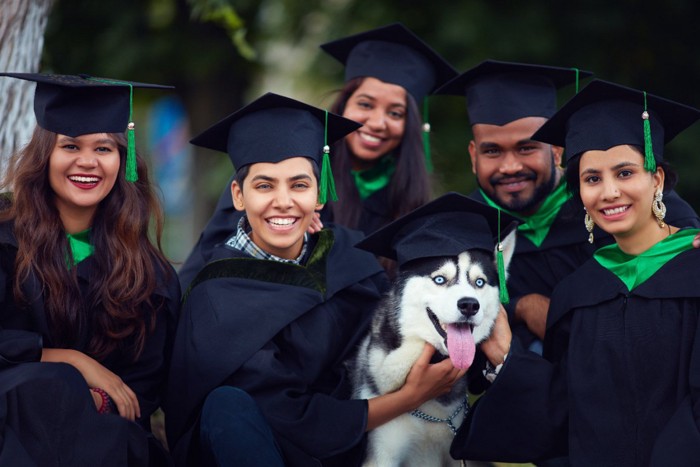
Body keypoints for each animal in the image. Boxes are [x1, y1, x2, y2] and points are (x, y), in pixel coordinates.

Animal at [352, 231, 516, 467]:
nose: (469, 305)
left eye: (479, 282)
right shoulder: (382, 454)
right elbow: (389, 365)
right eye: (440, 279)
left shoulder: (460, 454)